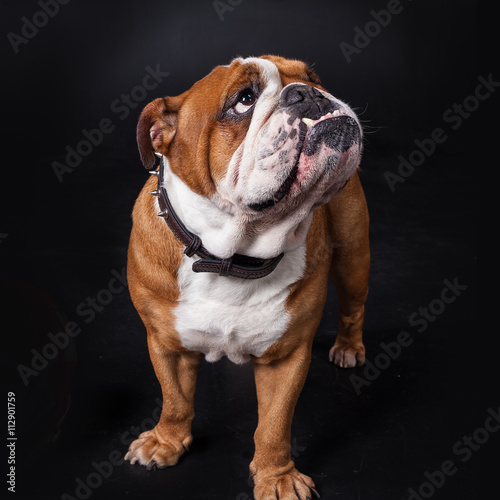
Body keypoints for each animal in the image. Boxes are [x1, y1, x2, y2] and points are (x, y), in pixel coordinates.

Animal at [123, 54, 370, 500]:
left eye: (313, 78)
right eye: (244, 100)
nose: (307, 93)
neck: (228, 255)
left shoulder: (286, 357)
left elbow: (274, 424)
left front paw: (278, 478)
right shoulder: (166, 343)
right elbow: (175, 399)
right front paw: (165, 442)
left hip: (354, 257)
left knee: (353, 306)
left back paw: (348, 347)